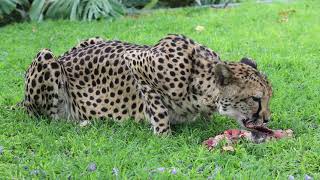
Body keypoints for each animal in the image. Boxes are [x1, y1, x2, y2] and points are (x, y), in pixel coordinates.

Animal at [22, 34, 272, 135]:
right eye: (255, 99)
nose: (268, 119)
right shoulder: (136, 60)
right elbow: (158, 109)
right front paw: (163, 135)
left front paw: (206, 122)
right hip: (46, 57)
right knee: (49, 119)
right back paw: (80, 122)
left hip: (96, 38)